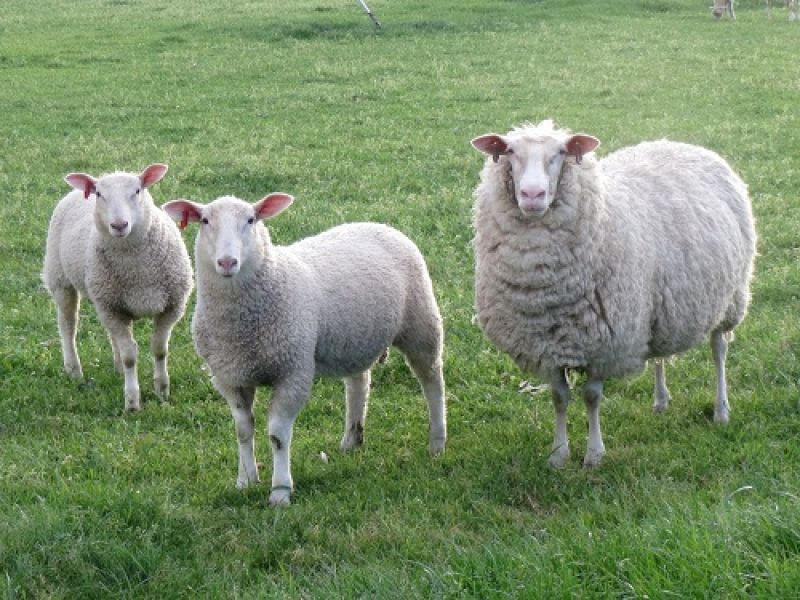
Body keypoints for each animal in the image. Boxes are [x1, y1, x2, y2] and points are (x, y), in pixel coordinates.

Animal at [42, 164, 193, 412]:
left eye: (137, 190)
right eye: (99, 194)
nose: (119, 225)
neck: (137, 271)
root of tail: (74, 192)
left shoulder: (171, 306)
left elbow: (159, 349)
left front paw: (162, 391)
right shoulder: (112, 307)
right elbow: (130, 355)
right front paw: (132, 402)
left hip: (109, 300)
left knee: (112, 336)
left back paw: (118, 369)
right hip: (62, 280)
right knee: (68, 326)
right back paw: (74, 370)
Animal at [163, 193, 447, 506]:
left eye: (251, 219)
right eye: (204, 221)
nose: (227, 262)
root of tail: (378, 224)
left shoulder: (293, 370)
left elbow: (277, 436)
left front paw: (280, 491)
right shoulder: (229, 377)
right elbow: (243, 430)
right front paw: (245, 481)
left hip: (421, 324)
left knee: (432, 381)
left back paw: (437, 441)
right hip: (353, 339)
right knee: (359, 383)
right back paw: (351, 439)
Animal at [470, 120, 756, 468]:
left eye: (562, 152)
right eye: (510, 151)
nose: (532, 194)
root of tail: (680, 143)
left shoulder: (605, 344)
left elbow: (592, 397)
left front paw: (594, 454)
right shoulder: (547, 347)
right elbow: (559, 398)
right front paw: (558, 454)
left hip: (730, 298)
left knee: (719, 349)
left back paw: (721, 410)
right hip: (657, 307)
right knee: (659, 354)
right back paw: (661, 401)